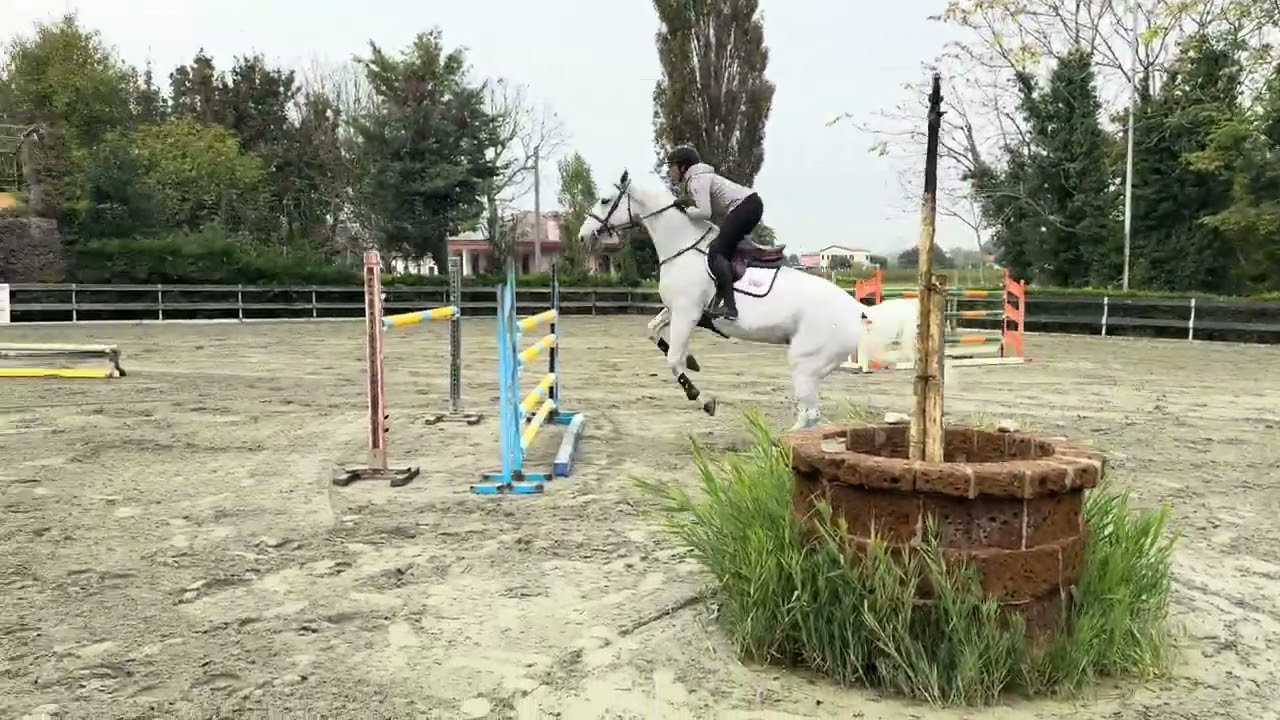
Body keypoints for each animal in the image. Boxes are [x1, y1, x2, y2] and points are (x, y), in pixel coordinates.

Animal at [577, 170, 885, 431]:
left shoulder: (687, 312)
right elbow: (654, 332)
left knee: (809, 414)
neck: (682, 247)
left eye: (605, 200)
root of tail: (859, 312)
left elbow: (674, 359)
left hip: (806, 363)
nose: (582, 236)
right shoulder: (677, 310)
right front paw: (692, 361)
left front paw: (703, 399)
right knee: (812, 416)